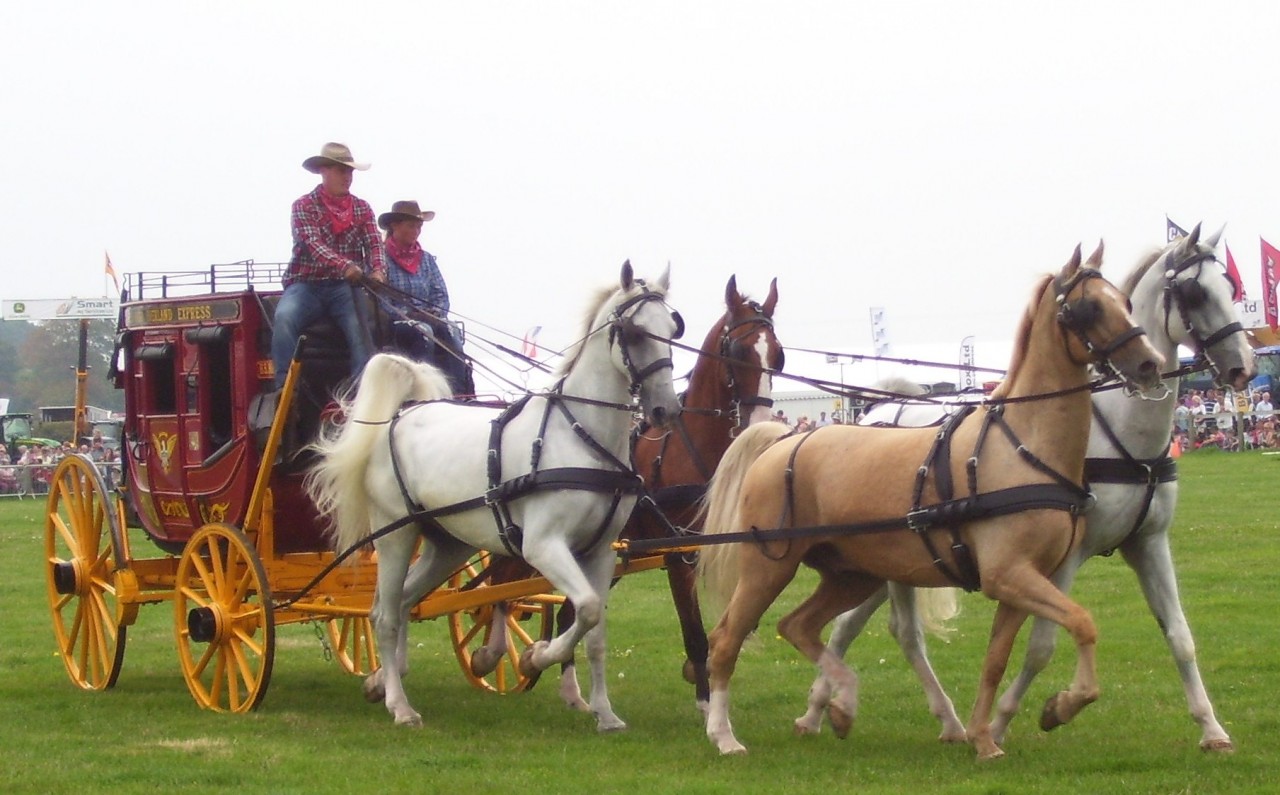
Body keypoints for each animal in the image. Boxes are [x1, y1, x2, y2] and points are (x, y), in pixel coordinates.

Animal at [305, 261, 684, 730]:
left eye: (672, 328)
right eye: (633, 332)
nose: (666, 410)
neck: (580, 437)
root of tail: (401, 415)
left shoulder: (600, 553)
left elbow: (595, 631)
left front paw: (605, 713)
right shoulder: (543, 546)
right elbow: (587, 607)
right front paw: (537, 656)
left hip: (447, 544)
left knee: (405, 601)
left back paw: (381, 680)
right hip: (394, 534)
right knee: (386, 614)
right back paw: (400, 704)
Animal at [467, 275, 784, 714]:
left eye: (779, 356)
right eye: (736, 352)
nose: (762, 424)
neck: (687, 448)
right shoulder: (677, 554)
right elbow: (693, 632)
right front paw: (706, 703)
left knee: (564, 612)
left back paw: (571, 691)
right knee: (500, 584)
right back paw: (492, 653)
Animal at [696, 244, 1166, 758]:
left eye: (1125, 300)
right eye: (1089, 307)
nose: (1150, 363)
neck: (1022, 445)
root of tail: (783, 440)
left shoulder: (1023, 581)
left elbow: (996, 659)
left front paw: (983, 736)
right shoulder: (1008, 575)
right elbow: (1083, 623)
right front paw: (1062, 705)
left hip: (852, 575)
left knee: (798, 626)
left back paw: (844, 702)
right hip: (767, 567)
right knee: (726, 639)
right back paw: (724, 735)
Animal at [797, 224, 1252, 752]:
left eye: (1233, 289)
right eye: (1196, 293)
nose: (1243, 367)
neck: (1119, 435)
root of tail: (874, 411)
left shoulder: (1149, 542)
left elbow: (1179, 635)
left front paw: (1212, 729)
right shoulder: (1065, 556)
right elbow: (1042, 645)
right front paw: (1021, 717)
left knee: (865, 626)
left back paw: (855, 712)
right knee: (864, 626)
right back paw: (828, 711)